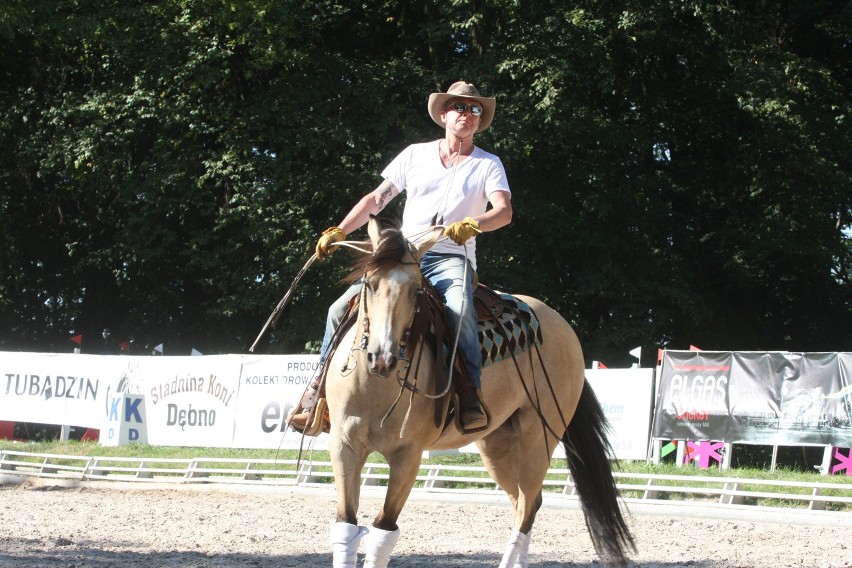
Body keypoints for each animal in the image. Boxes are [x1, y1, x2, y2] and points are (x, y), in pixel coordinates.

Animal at [324, 215, 632, 564]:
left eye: (417, 292)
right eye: (369, 284)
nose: (382, 357)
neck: (375, 389)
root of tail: (563, 327)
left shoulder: (408, 455)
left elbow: (383, 529)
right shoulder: (344, 445)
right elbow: (346, 524)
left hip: (538, 436)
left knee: (526, 505)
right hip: (498, 443)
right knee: (526, 501)